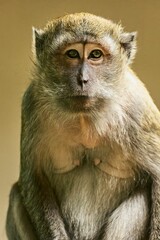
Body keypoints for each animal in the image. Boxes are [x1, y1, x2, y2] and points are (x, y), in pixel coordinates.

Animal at [5, 13, 160, 240]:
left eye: (95, 54)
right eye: (72, 54)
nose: (83, 79)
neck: (84, 117)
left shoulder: (137, 108)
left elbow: (157, 178)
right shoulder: (32, 102)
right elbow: (34, 178)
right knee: (17, 195)